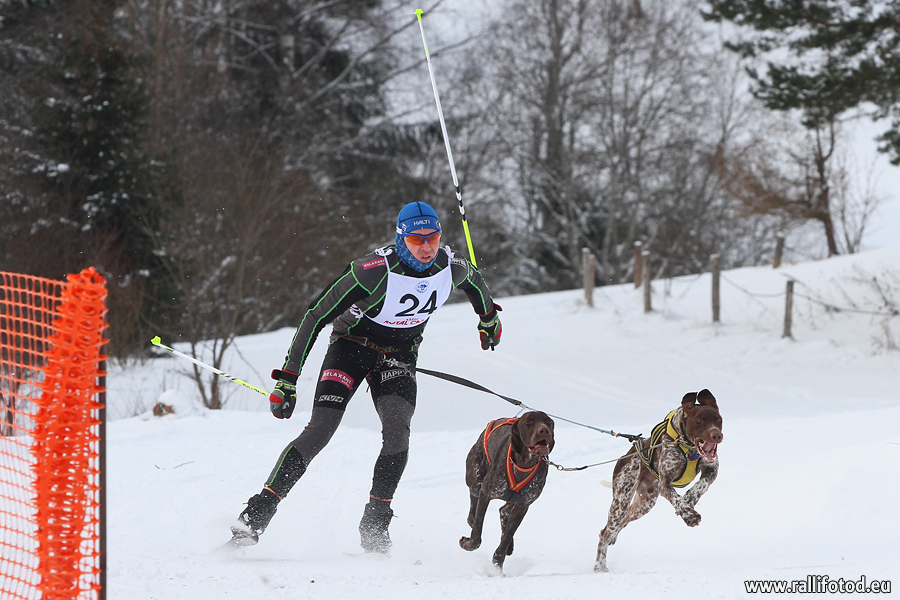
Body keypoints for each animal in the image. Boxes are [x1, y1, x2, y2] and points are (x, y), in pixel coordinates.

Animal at [460, 411, 555, 570]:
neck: (523, 465)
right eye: (528, 421)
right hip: (475, 479)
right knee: (473, 506)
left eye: (548, 422)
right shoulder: (486, 493)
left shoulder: (523, 505)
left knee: (503, 511)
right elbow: (477, 536)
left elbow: (507, 537)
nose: (544, 430)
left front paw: (497, 566)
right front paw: (467, 543)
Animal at [594, 389, 722, 573]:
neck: (688, 448)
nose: (716, 435)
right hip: (621, 500)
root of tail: (626, 455)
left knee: (622, 522)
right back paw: (600, 566)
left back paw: (612, 539)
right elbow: (676, 498)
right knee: (605, 532)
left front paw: (690, 499)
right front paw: (689, 515)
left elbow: (701, 486)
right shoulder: (665, 483)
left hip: (645, 503)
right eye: (699, 420)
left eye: (718, 420)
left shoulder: (712, 470)